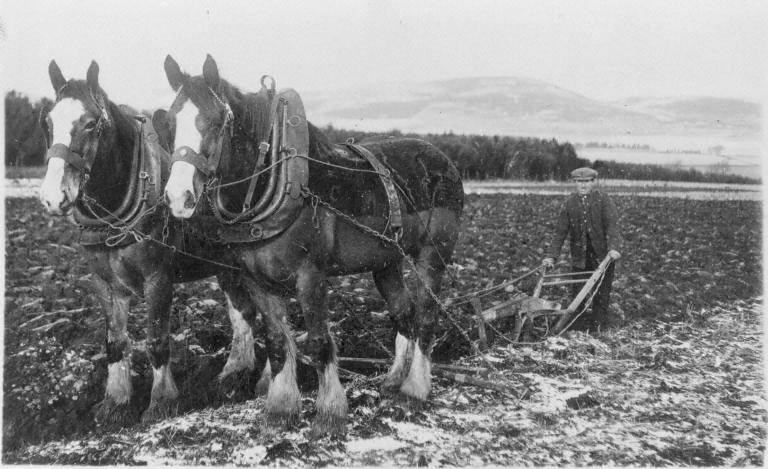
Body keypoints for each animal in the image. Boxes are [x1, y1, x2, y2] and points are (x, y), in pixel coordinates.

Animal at [39, 60, 272, 426]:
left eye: (90, 124)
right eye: (48, 121)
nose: (52, 197)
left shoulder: (157, 278)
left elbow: (157, 339)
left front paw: (161, 400)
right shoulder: (104, 283)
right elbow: (115, 342)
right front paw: (115, 401)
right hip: (227, 265)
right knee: (243, 312)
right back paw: (234, 372)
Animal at [161, 55, 462, 436]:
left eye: (215, 121)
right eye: (170, 122)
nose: (178, 197)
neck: (273, 177)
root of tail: (442, 158)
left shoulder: (311, 276)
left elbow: (319, 342)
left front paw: (331, 412)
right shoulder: (256, 278)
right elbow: (277, 342)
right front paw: (280, 408)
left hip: (434, 254)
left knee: (425, 316)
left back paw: (415, 388)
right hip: (386, 262)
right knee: (403, 315)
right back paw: (394, 379)